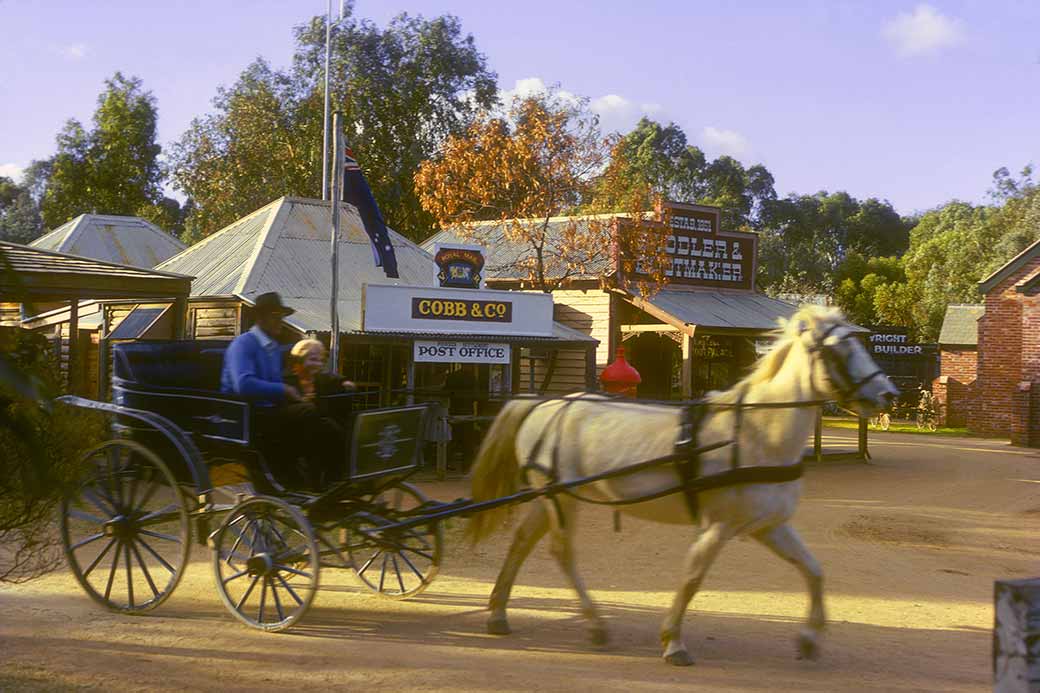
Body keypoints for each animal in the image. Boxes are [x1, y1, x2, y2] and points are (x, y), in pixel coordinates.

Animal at [467, 305, 898, 665]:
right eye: (840, 350)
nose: (889, 395)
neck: (756, 432)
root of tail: (545, 405)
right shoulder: (717, 526)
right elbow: (692, 579)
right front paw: (673, 641)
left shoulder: (769, 526)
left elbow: (813, 570)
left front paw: (809, 637)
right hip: (562, 499)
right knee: (562, 552)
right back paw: (594, 623)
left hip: (550, 498)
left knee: (522, 542)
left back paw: (499, 613)